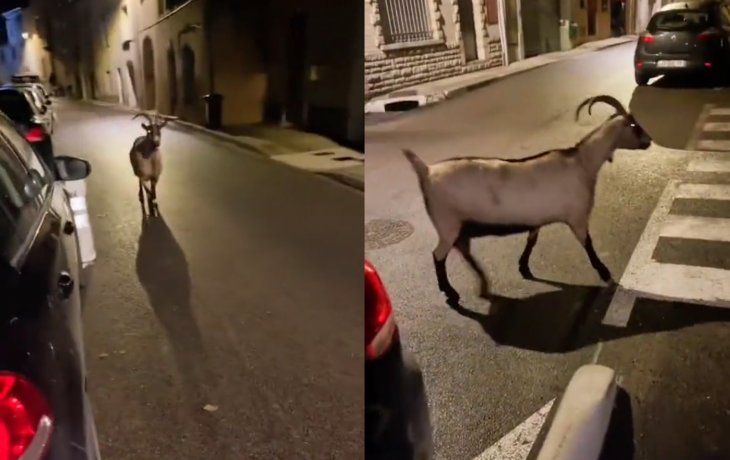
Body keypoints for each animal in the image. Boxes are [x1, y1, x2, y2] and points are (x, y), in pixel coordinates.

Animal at [403, 95, 652, 302]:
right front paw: (605, 273)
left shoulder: (537, 220)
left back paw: (482, 284)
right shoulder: (577, 217)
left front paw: (523, 267)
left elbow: (531, 241)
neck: (583, 163)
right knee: (438, 255)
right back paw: (451, 292)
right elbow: (588, 245)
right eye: (634, 125)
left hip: (458, 226)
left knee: (463, 252)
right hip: (447, 223)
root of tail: (426, 171)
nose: (649, 140)